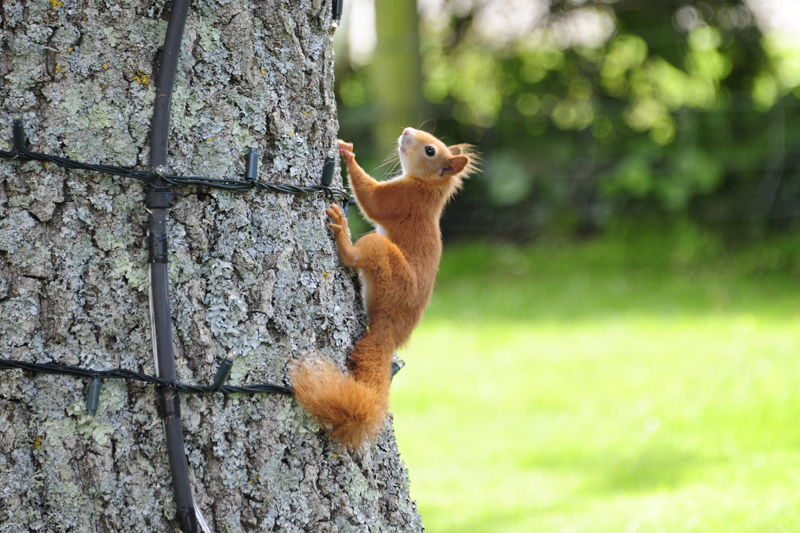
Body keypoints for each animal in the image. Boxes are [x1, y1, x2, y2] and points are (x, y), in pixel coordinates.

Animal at [291, 127, 477, 449]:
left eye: (430, 150)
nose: (406, 131)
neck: (428, 188)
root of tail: (390, 329)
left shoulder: (401, 198)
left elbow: (372, 200)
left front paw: (348, 155)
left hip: (388, 267)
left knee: (359, 256)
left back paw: (343, 235)